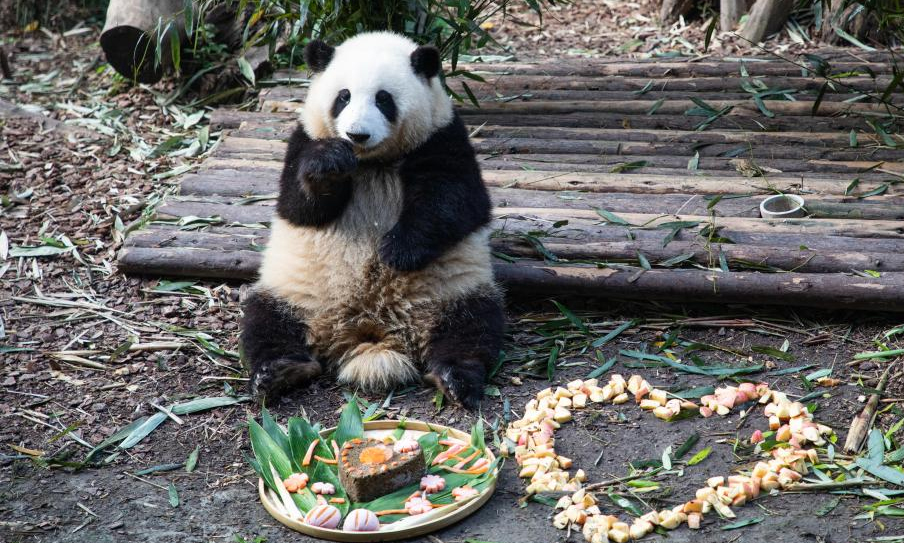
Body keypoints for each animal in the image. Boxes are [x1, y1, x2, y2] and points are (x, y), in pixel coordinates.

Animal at [240, 31, 504, 410]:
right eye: (343, 96)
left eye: (383, 99)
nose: (357, 134)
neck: (371, 162)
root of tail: (371, 329)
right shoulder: (303, 139)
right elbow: (298, 206)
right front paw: (328, 164)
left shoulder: (442, 138)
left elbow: (455, 201)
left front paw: (396, 251)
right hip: (296, 293)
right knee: (264, 322)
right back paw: (279, 371)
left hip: (451, 288)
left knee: (473, 326)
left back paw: (455, 377)